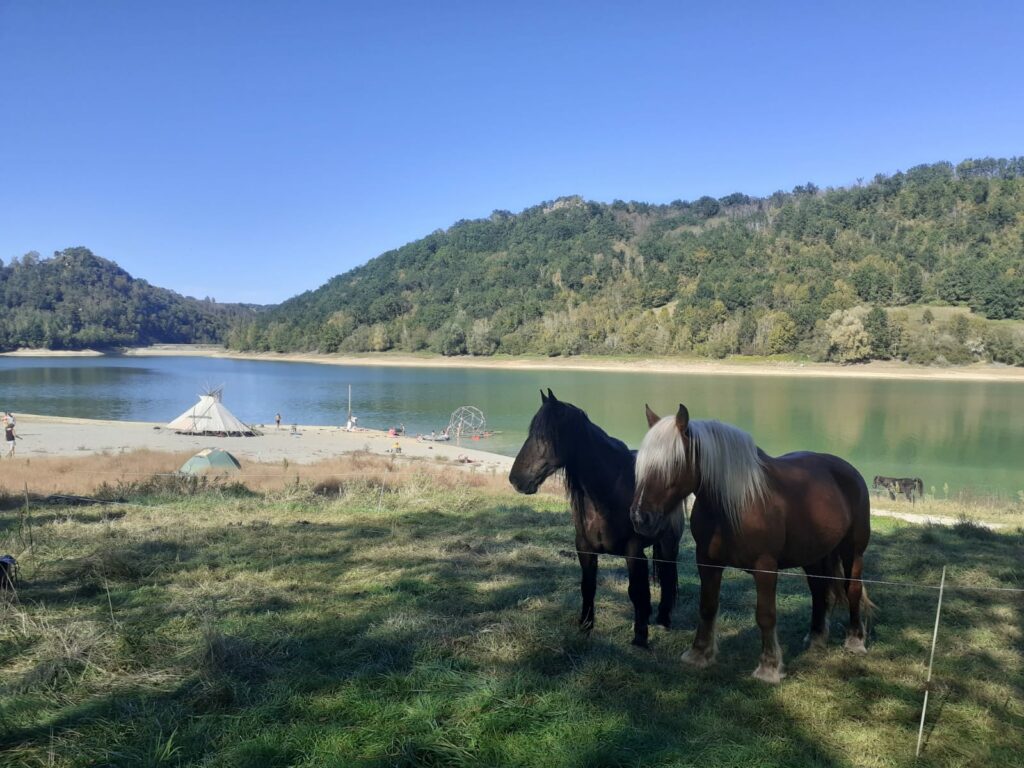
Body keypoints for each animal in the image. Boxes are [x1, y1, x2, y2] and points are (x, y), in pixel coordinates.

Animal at [507, 391, 684, 651]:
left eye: (546, 435)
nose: (516, 479)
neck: (607, 495)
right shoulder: (585, 548)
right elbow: (588, 586)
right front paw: (585, 626)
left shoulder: (634, 552)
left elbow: (636, 591)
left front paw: (640, 636)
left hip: (669, 543)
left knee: (669, 577)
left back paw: (663, 619)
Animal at [626, 405, 876, 684]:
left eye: (675, 464)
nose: (640, 518)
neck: (737, 502)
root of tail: (849, 470)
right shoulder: (707, 563)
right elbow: (707, 607)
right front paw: (699, 654)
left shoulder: (765, 567)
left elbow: (765, 615)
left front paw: (769, 667)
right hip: (813, 556)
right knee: (819, 591)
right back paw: (817, 638)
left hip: (852, 551)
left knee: (852, 589)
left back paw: (855, 640)